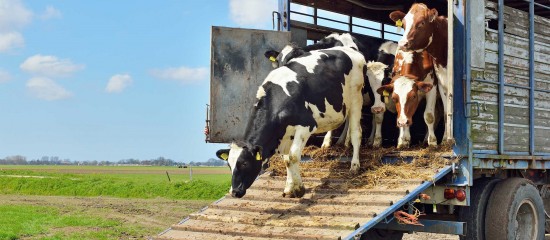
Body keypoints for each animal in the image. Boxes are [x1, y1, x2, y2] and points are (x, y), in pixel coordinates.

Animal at [219, 45, 366, 199]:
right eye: (229, 165)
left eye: (245, 163)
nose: (234, 192)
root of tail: (348, 49)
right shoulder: (285, 134)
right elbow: (286, 160)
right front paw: (290, 187)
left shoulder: (306, 125)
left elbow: (293, 156)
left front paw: (298, 189)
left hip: (356, 98)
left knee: (356, 133)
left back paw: (355, 165)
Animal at [390, 4, 454, 142]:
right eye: (403, 24)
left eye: (422, 23)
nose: (402, 44)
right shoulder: (442, 84)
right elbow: (446, 113)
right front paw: (403, 140)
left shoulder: (433, 85)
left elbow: (429, 115)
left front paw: (435, 141)